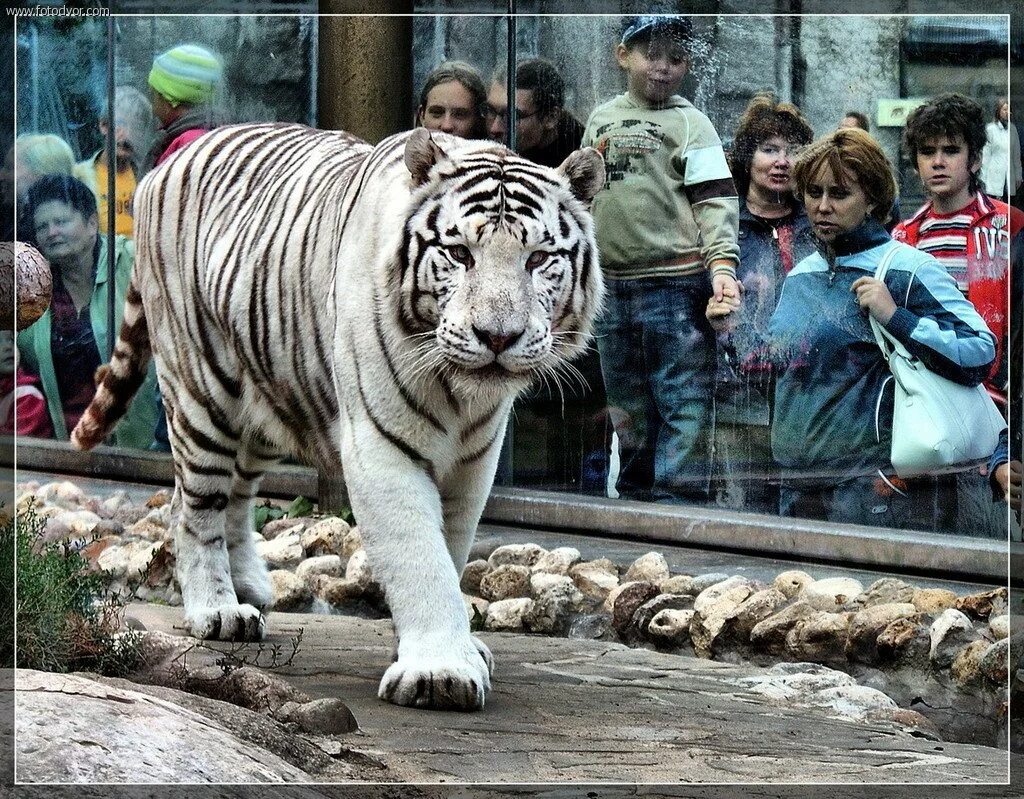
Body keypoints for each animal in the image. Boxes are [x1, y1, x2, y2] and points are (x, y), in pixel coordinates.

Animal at [74, 124, 606, 712]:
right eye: (459, 253)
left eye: (537, 259)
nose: (497, 337)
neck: (461, 396)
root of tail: (166, 163)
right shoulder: (381, 447)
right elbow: (420, 557)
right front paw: (440, 671)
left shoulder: (475, 460)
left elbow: (450, 549)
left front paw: (451, 649)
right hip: (202, 391)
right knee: (195, 508)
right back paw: (218, 610)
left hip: (267, 403)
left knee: (230, 495)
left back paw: (251, 587)